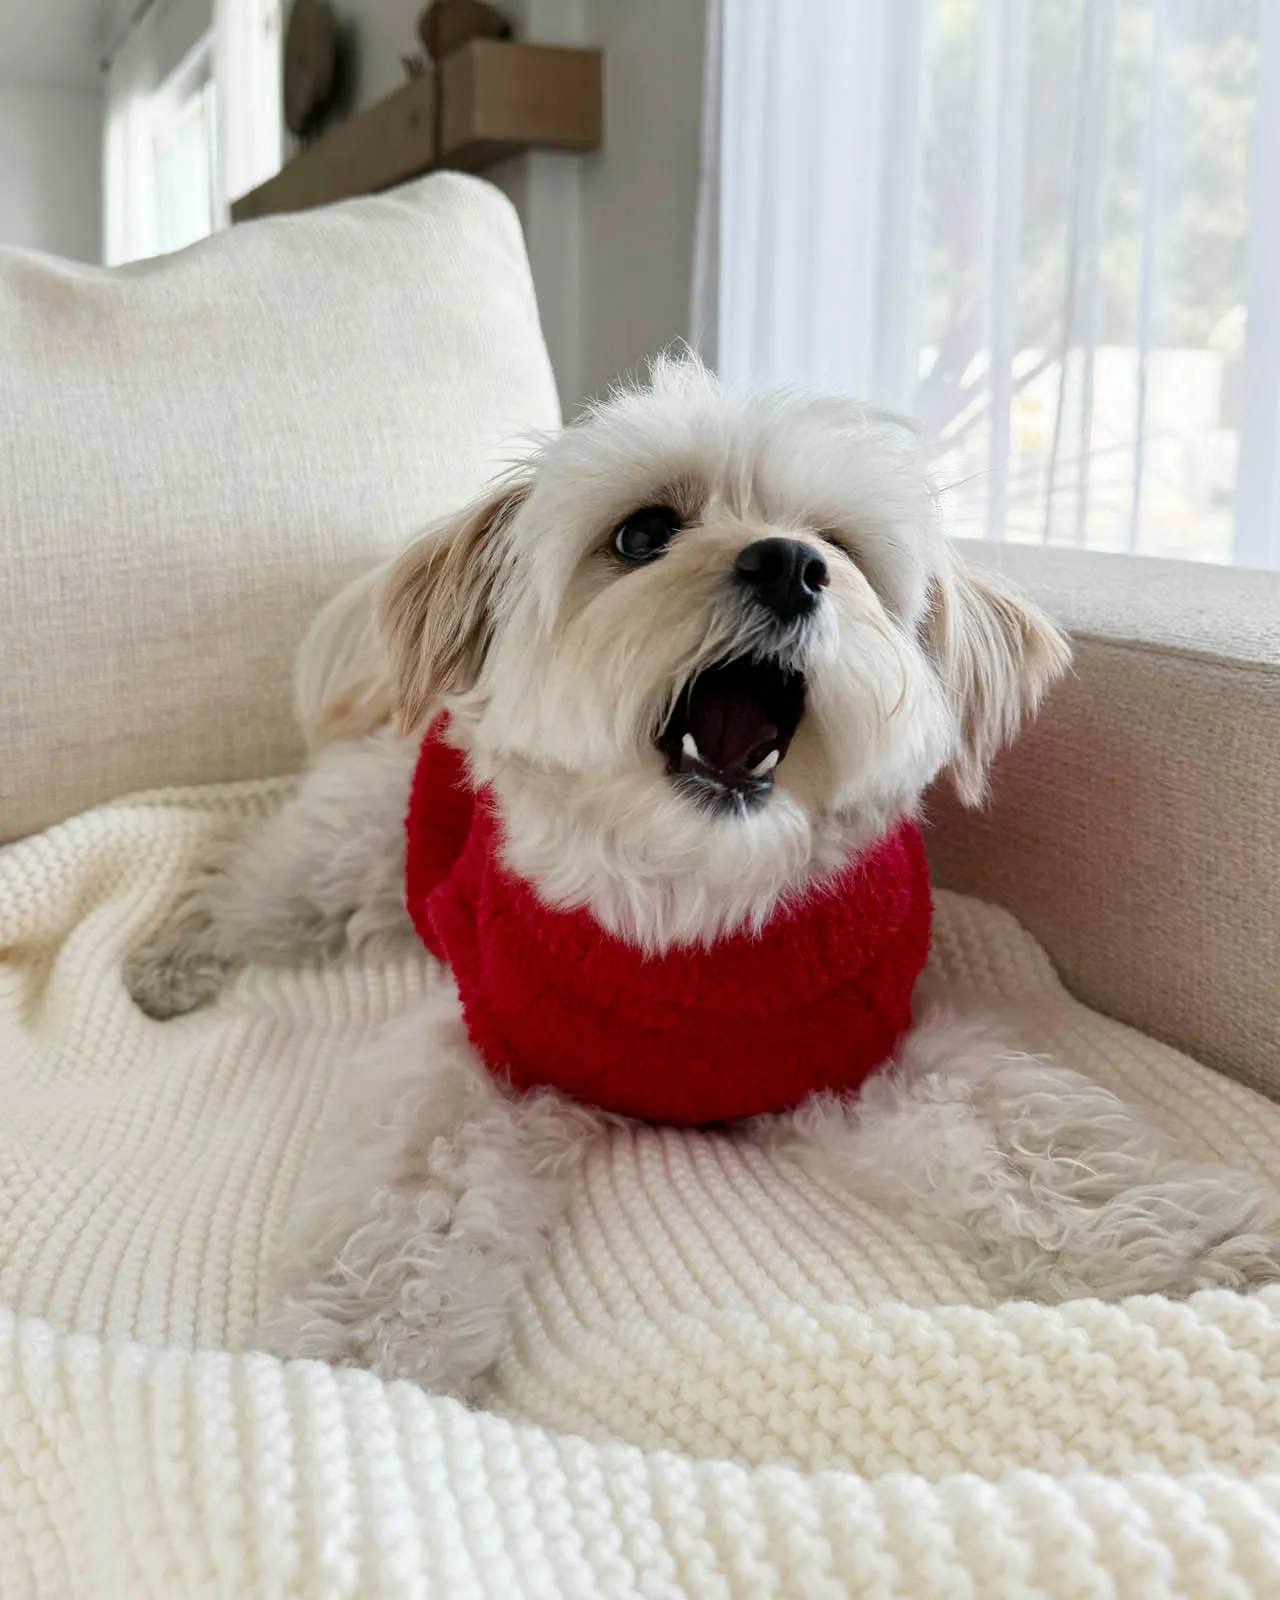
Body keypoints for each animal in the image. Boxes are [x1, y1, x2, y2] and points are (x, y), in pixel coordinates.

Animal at [124, 356, 1280, 1395]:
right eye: (641, 535)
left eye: (840, 549)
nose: (787, 564)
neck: (696, 901)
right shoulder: (480, 1061)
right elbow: (405, 1218)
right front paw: (355, 1366)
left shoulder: (868, 1060)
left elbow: (1051, 1157)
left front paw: (1201, 1244)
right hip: (344, 861)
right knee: (234, 871)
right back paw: (168, 964)